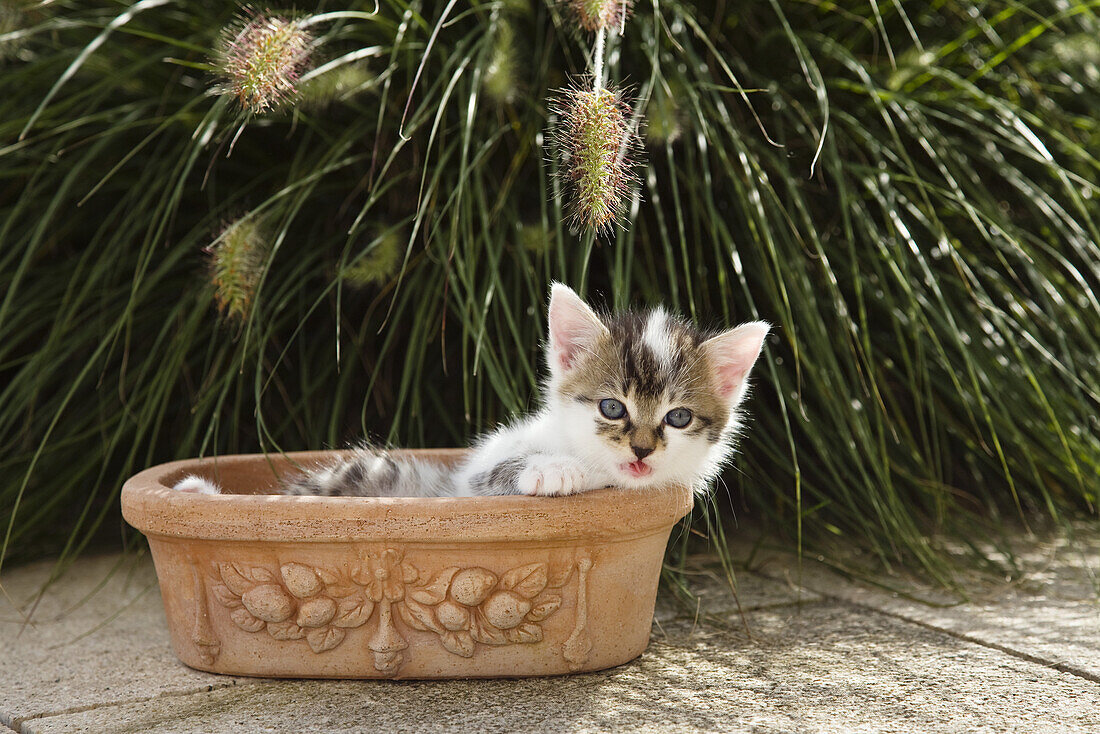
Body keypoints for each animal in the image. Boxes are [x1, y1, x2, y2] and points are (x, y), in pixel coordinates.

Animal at [173, 283, 774, 497]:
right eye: (612, 407)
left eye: (678, 418)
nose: (643, 450)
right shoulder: (476, 472)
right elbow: (500, 471)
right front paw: (554, 471)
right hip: (378, 473)